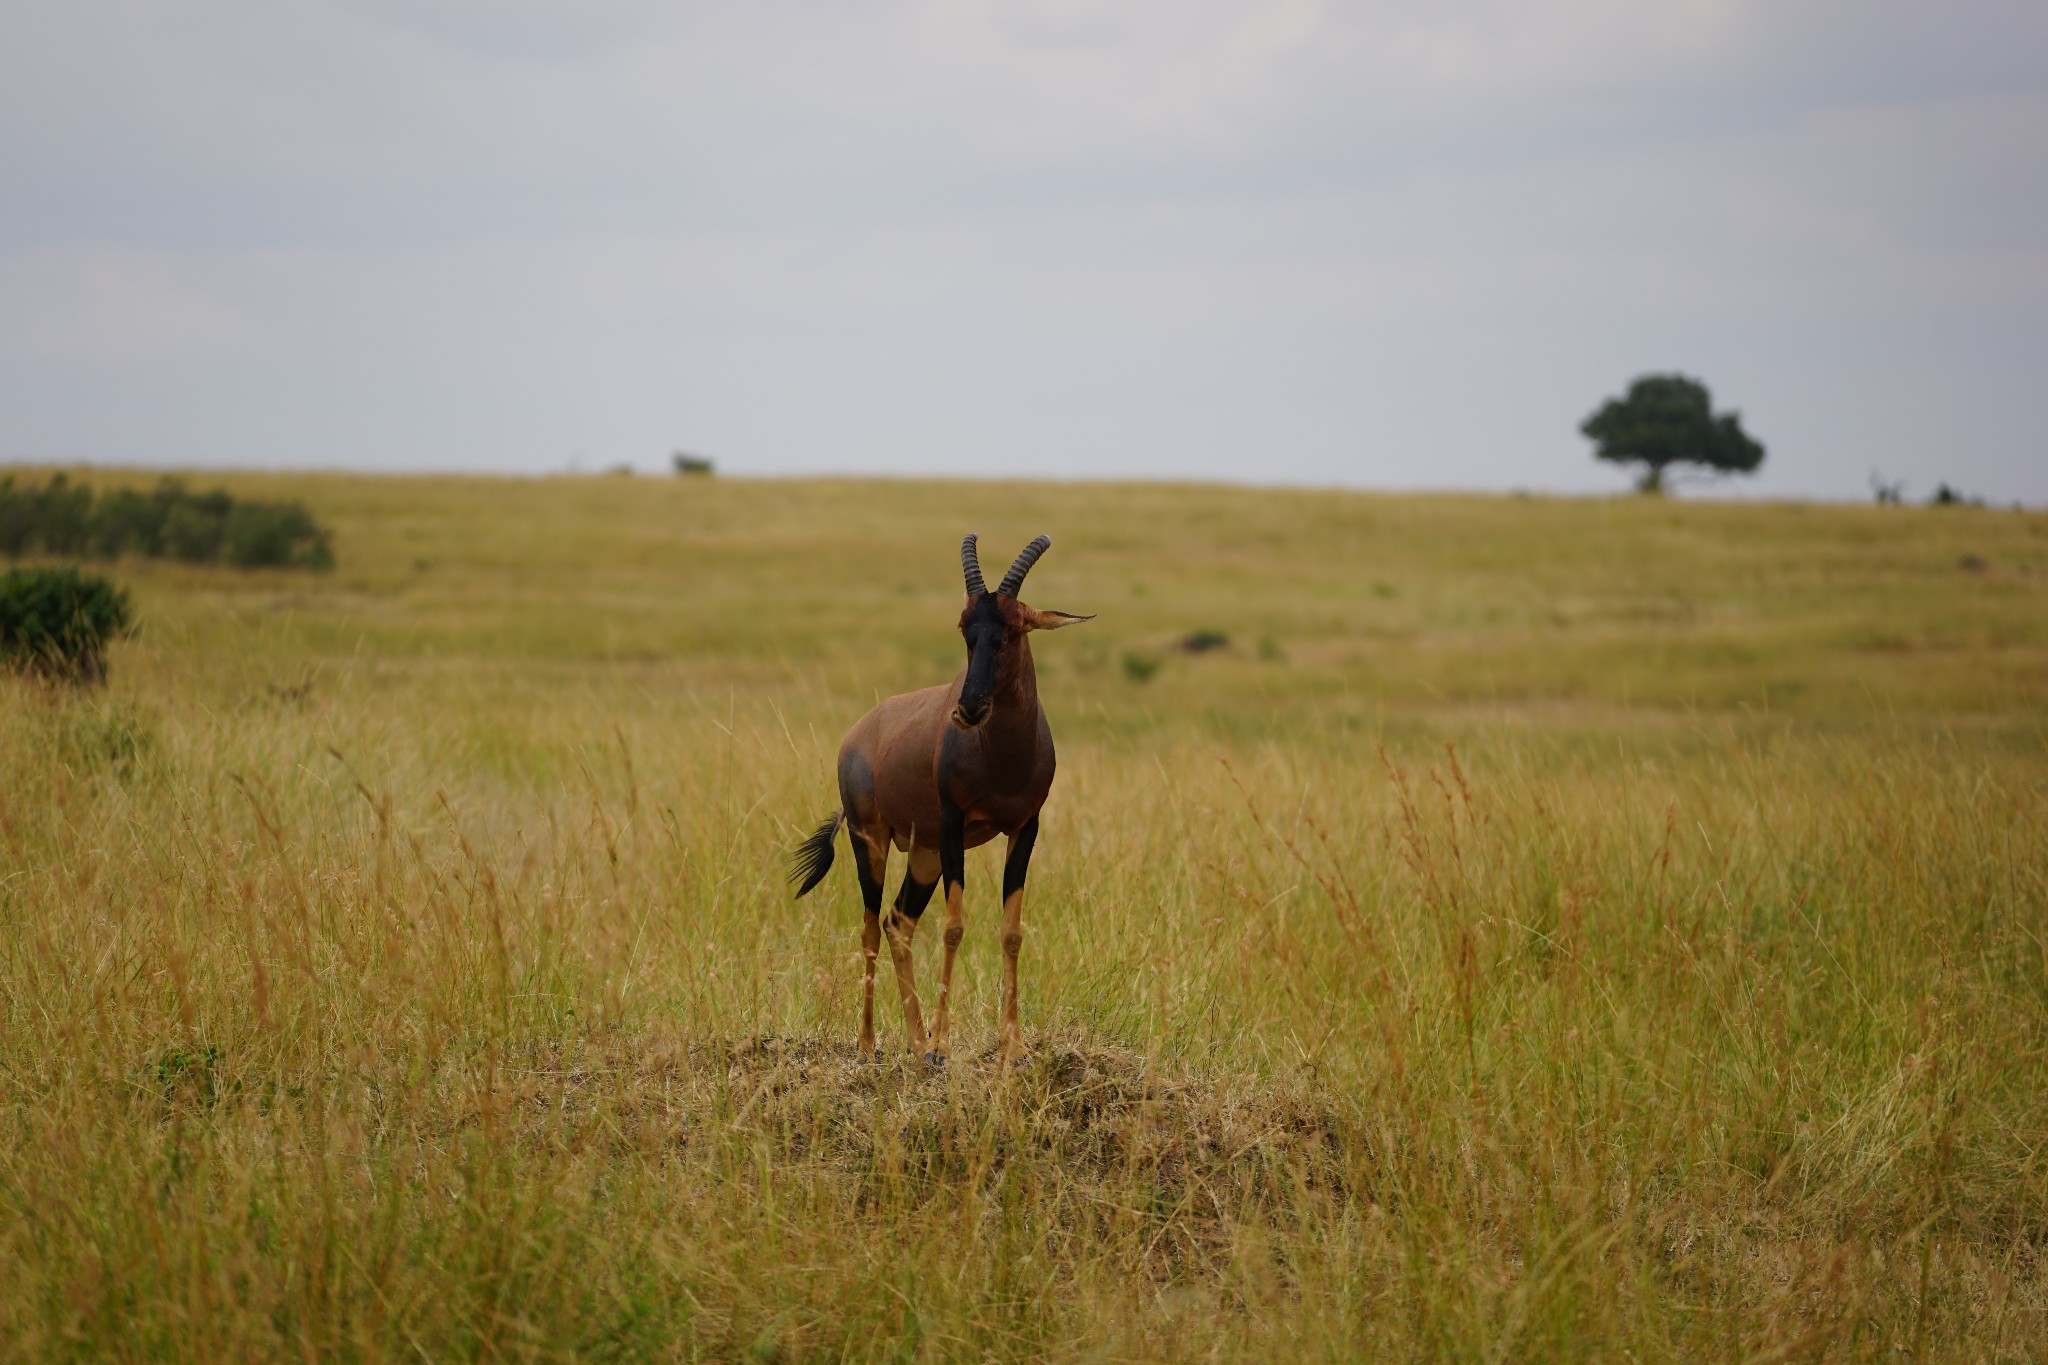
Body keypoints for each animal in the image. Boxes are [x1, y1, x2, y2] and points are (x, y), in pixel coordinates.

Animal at [790, 532, 1097, 1064]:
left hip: (924, 855)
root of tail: (857, 734)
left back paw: (914, 1041)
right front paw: (944, 1043)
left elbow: (1012, 930)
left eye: (1012, 629)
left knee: (897, 922)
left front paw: (1013, 1045)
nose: (968, 708)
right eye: (964, 628)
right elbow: (955, 925)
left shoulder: (1025, 827)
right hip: (871, 840)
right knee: (869, 927)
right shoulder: (954, 821)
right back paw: (871, 1044)